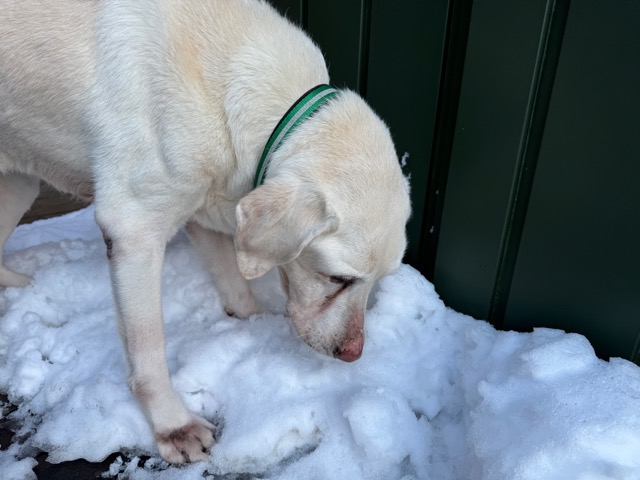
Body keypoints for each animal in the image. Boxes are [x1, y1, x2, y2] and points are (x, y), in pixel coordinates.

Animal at [0, 0, 411, 463]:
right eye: (337, 278)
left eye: (378, 280)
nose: (353, 355)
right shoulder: (132, 229)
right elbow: (148, 348)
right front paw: (173, 426)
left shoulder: (205, 206)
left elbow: (235, 285)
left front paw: (252, 324)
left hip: (18, 182)